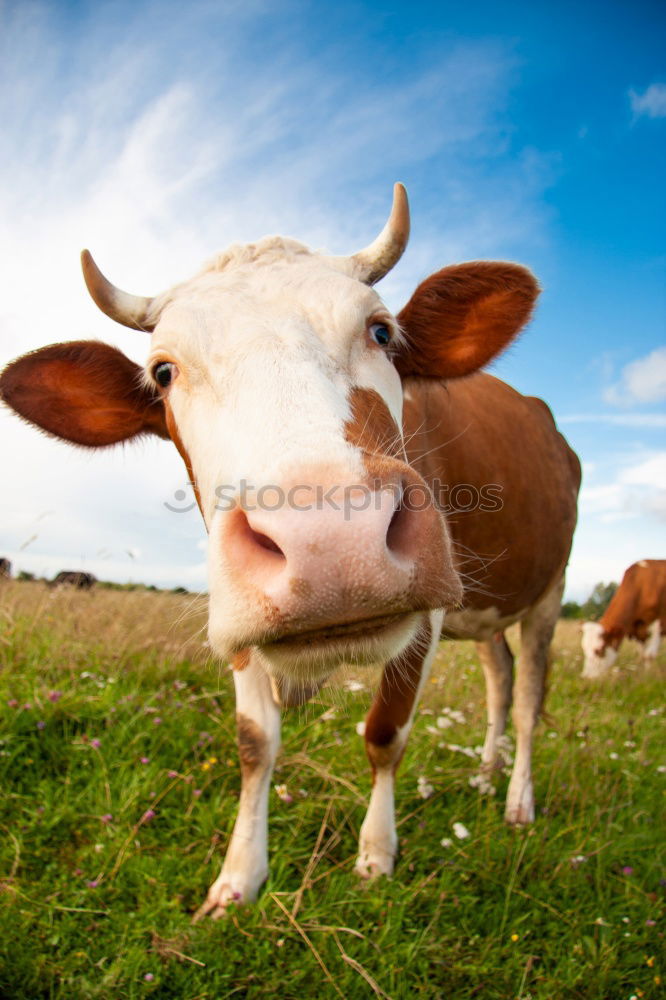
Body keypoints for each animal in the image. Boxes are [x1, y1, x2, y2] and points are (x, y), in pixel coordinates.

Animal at [0, 184, 580, 916]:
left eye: (381, 332)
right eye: (163, 372)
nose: (331, 539)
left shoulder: (427, 615)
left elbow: (385, 733)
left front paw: (375, 856)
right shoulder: (238, 616)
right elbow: (254, 744)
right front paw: (237, 879)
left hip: (549, 590)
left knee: (528, 694)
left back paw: (516, 802)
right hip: (488, 609)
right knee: (499, 678)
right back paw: (484, 773)